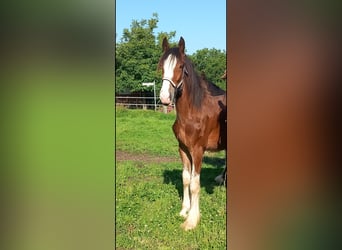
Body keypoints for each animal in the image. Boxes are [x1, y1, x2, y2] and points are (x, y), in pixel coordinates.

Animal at [158, 36, 227, 230]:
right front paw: (184, 210)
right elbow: (186, 179)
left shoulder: (197, 150)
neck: (193, 112)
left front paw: (192, 220)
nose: (164, 98)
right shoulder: (183, 148)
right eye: (161, 65)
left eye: (181, 66)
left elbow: (195, 184)